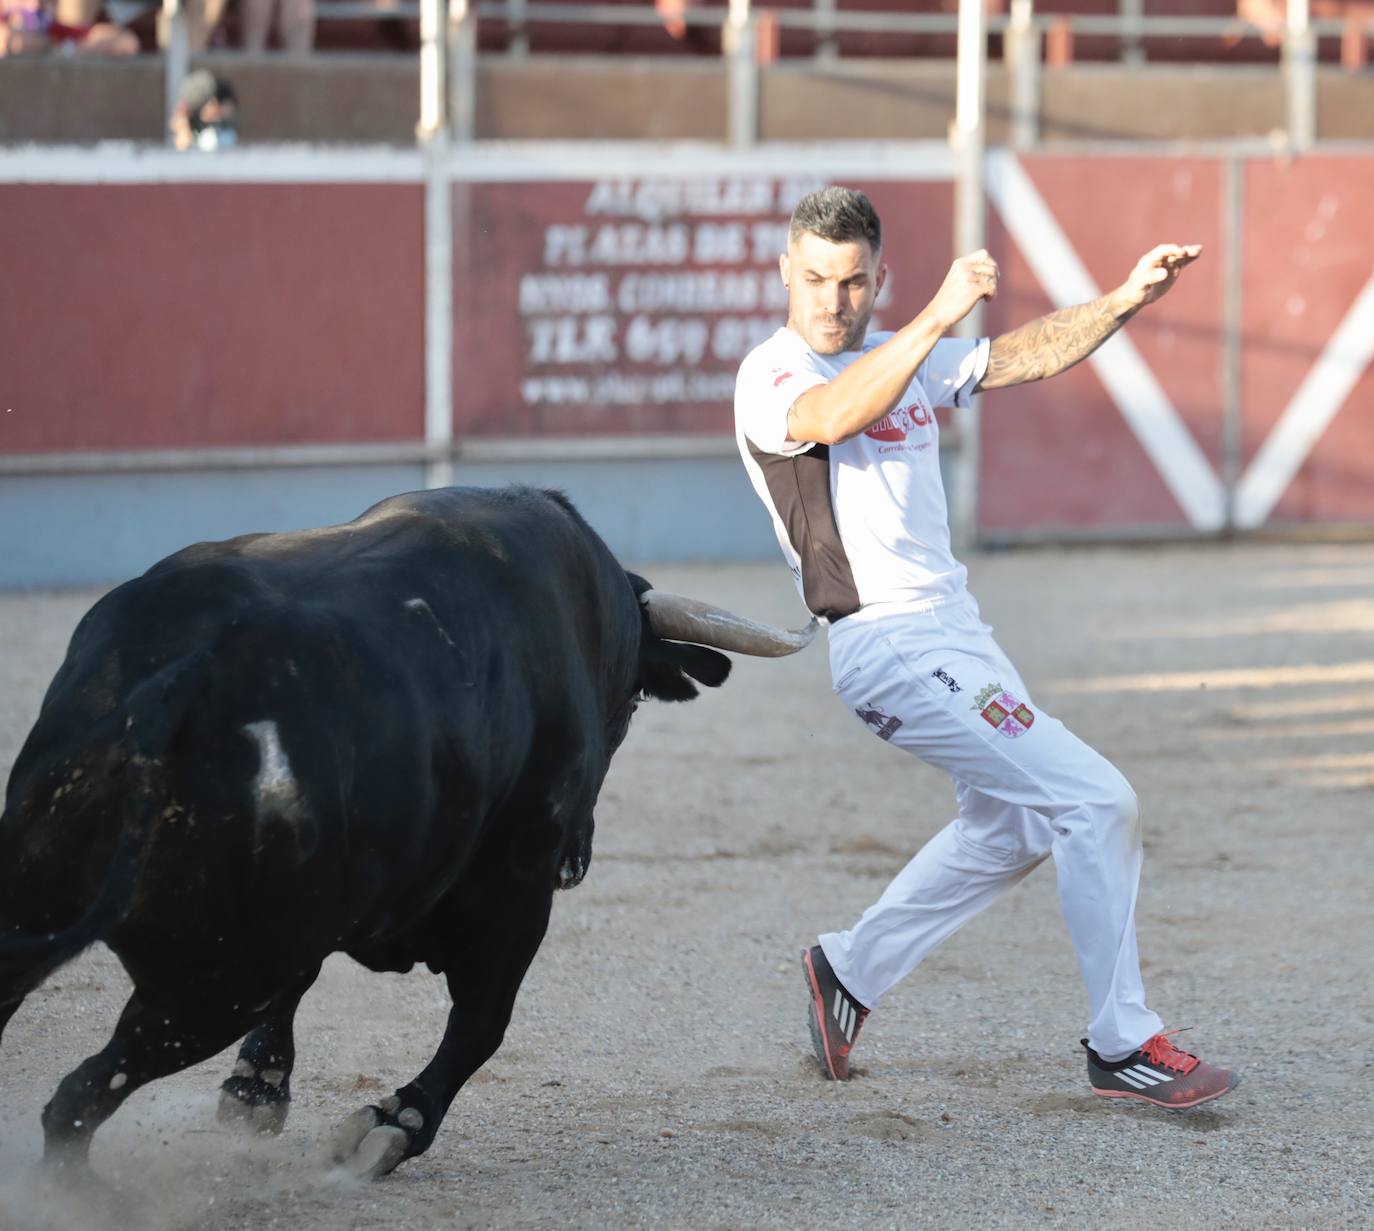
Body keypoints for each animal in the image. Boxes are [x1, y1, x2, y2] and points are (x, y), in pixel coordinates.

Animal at [0, 486, 813, 1176]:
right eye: (634, 700)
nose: (577, 861)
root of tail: (185, 675)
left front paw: (257, 1090)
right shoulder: (517, 887)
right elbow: (484, 1021)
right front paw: (394, 1124)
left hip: (53, 906)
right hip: (217, 983)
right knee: (75, 1101)